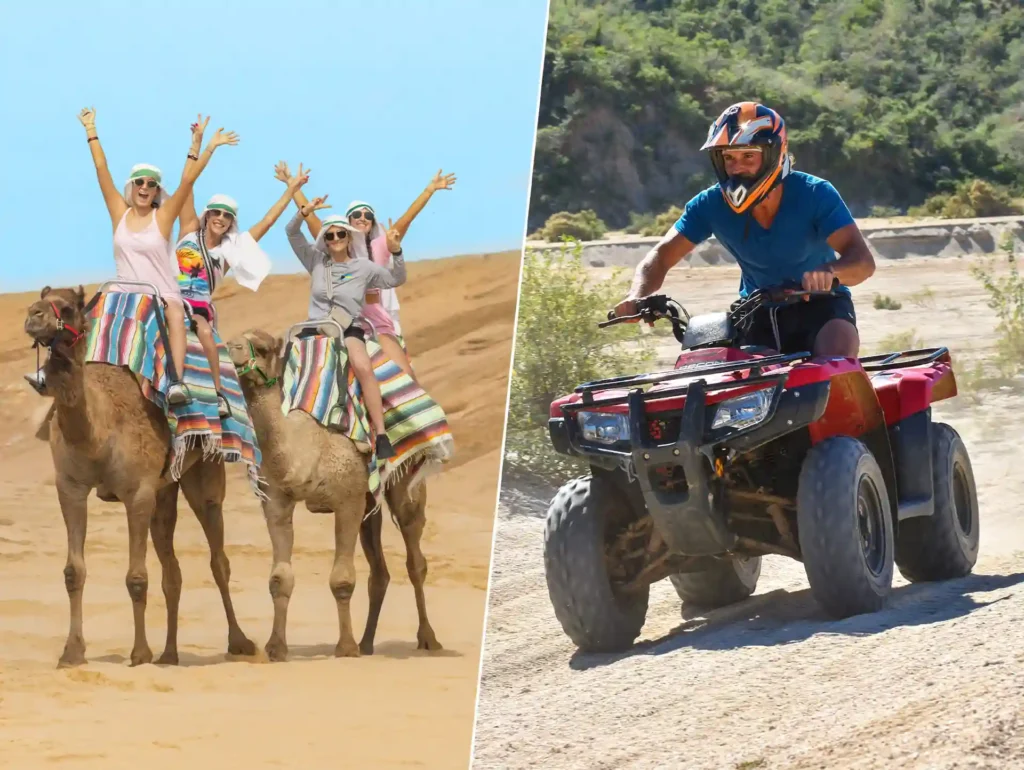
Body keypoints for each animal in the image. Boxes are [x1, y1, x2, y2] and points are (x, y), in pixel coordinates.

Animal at [23, 285, 256, 667]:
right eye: (43, 300)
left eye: (68, 308)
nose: (33, 315)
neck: (96, 432)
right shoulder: (70, 487)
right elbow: (74, 572)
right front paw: (72, 653)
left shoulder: (137, 492)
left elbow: (137, 577)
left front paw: (140, 653)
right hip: (165, 490)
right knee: (173, 570)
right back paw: (169, 654)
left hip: (204, 471)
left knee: (218, 558)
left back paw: (240, 643)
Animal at [226, 328, 440, 661]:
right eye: (227, 339)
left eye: (262, 348)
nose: (232, 349)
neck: (305, 448)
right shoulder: (277, 501)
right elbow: (279, 579)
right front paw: (276, 648)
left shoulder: (347, 501)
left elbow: (342, 580)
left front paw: (346, 647)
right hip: (369, 503)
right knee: (379, 570)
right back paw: (367, 643)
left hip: (406, 481)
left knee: (415, 556)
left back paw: (428, 639)